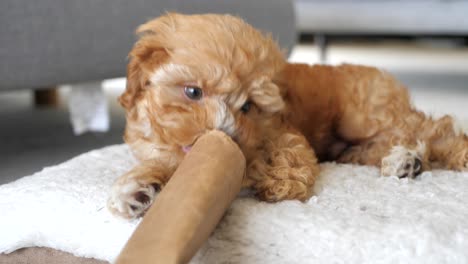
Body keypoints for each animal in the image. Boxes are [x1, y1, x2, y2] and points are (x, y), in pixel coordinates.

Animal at [106, 12, 468, 219]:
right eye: (192, 92)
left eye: (248, 107)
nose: (226, 136)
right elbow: (166, 162)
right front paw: (138, 189)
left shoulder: (283, 132)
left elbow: (289, 158)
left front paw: (275, 182)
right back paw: (401, 161)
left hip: (364, 115)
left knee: (433, 129)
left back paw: (423, 156)